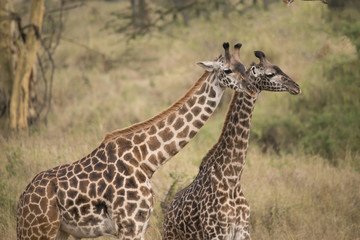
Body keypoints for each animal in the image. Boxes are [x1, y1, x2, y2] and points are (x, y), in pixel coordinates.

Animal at [163, 47, 300, 239]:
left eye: (278, 67)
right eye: (270, 73)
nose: (296, 87)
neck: (232, 179)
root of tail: (166, 215)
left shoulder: (243, 231)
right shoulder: (216, 232)